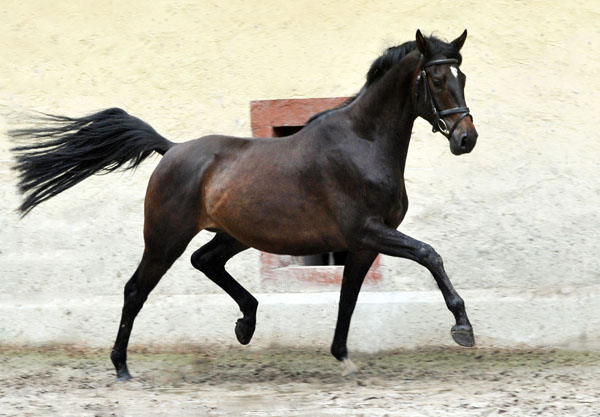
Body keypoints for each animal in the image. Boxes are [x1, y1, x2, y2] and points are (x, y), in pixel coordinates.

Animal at [9, 30, 478, 380]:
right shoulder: (368, 231)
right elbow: (429, 254)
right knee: (136, 289)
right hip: (165, 238)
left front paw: (343, 356)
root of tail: (172, 149)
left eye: (464, 76)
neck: (362, 142)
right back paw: (122, 367)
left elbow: (348, 298)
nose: (465, 138)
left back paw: (246, 323)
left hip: (234, 235)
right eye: (437, 79)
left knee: (205, 261)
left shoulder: (363, 244)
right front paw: (462, 327)